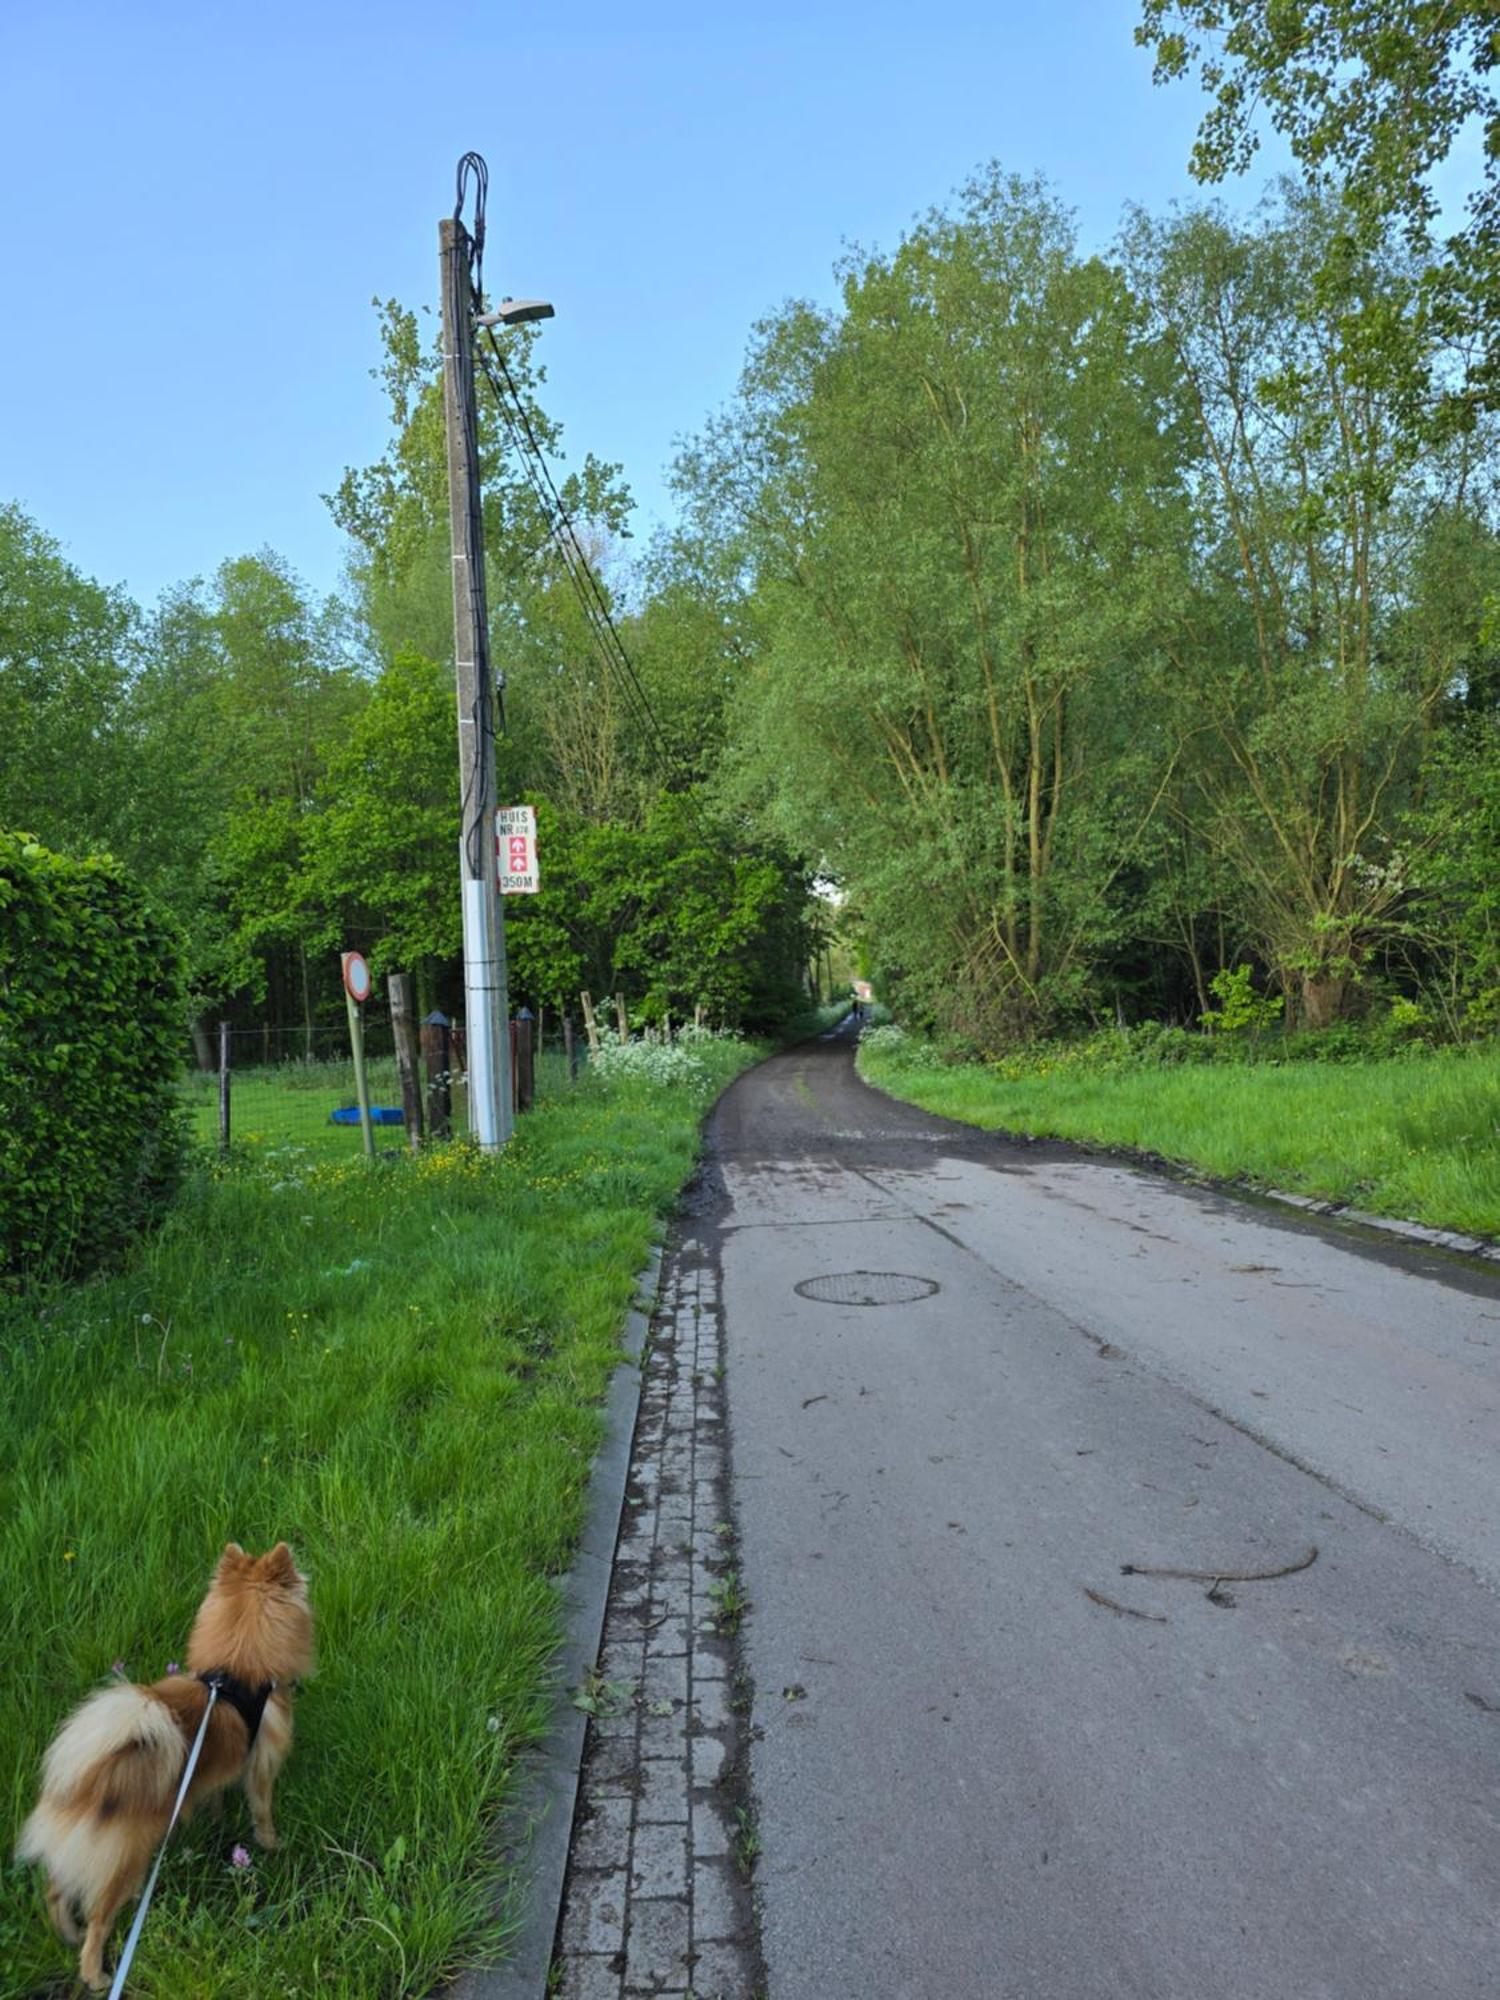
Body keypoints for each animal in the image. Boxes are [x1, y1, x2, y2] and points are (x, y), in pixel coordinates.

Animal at [15, 1544, 314, 1984]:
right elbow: (262, 1812)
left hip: (75, 1854)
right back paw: (96, 1975)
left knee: (56, 1891)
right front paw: (272, 1844)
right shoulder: (261, 1771)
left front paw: (217, 1821)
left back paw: (68, 1934)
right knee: (99, 1920)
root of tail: (89, 1781)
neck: (236, 1673)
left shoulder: (211, 1777)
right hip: (126, 1865)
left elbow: (214, 1798)